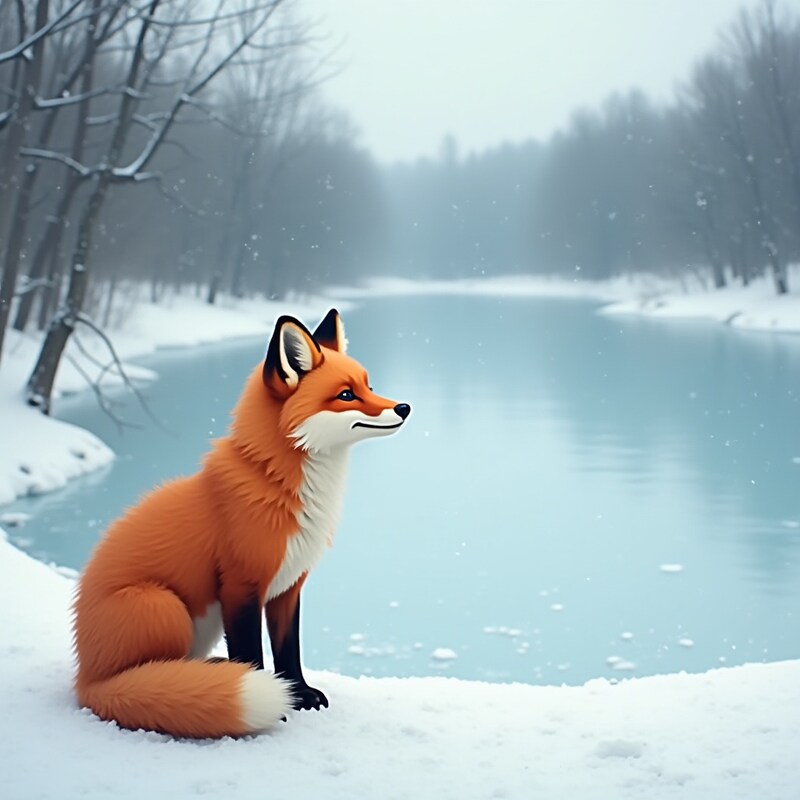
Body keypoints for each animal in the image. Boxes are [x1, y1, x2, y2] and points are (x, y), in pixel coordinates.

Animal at [73, 308, 410, 739]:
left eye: (370, 386)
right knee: (147, 675)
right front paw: (276, 704)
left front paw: (297, 694)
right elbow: (252, 654)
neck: (280, 485)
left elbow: (288, 650)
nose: (403, 407)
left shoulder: (288, 587)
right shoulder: (240, 586)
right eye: (347, 395)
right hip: (163, 605)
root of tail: (85, 680)